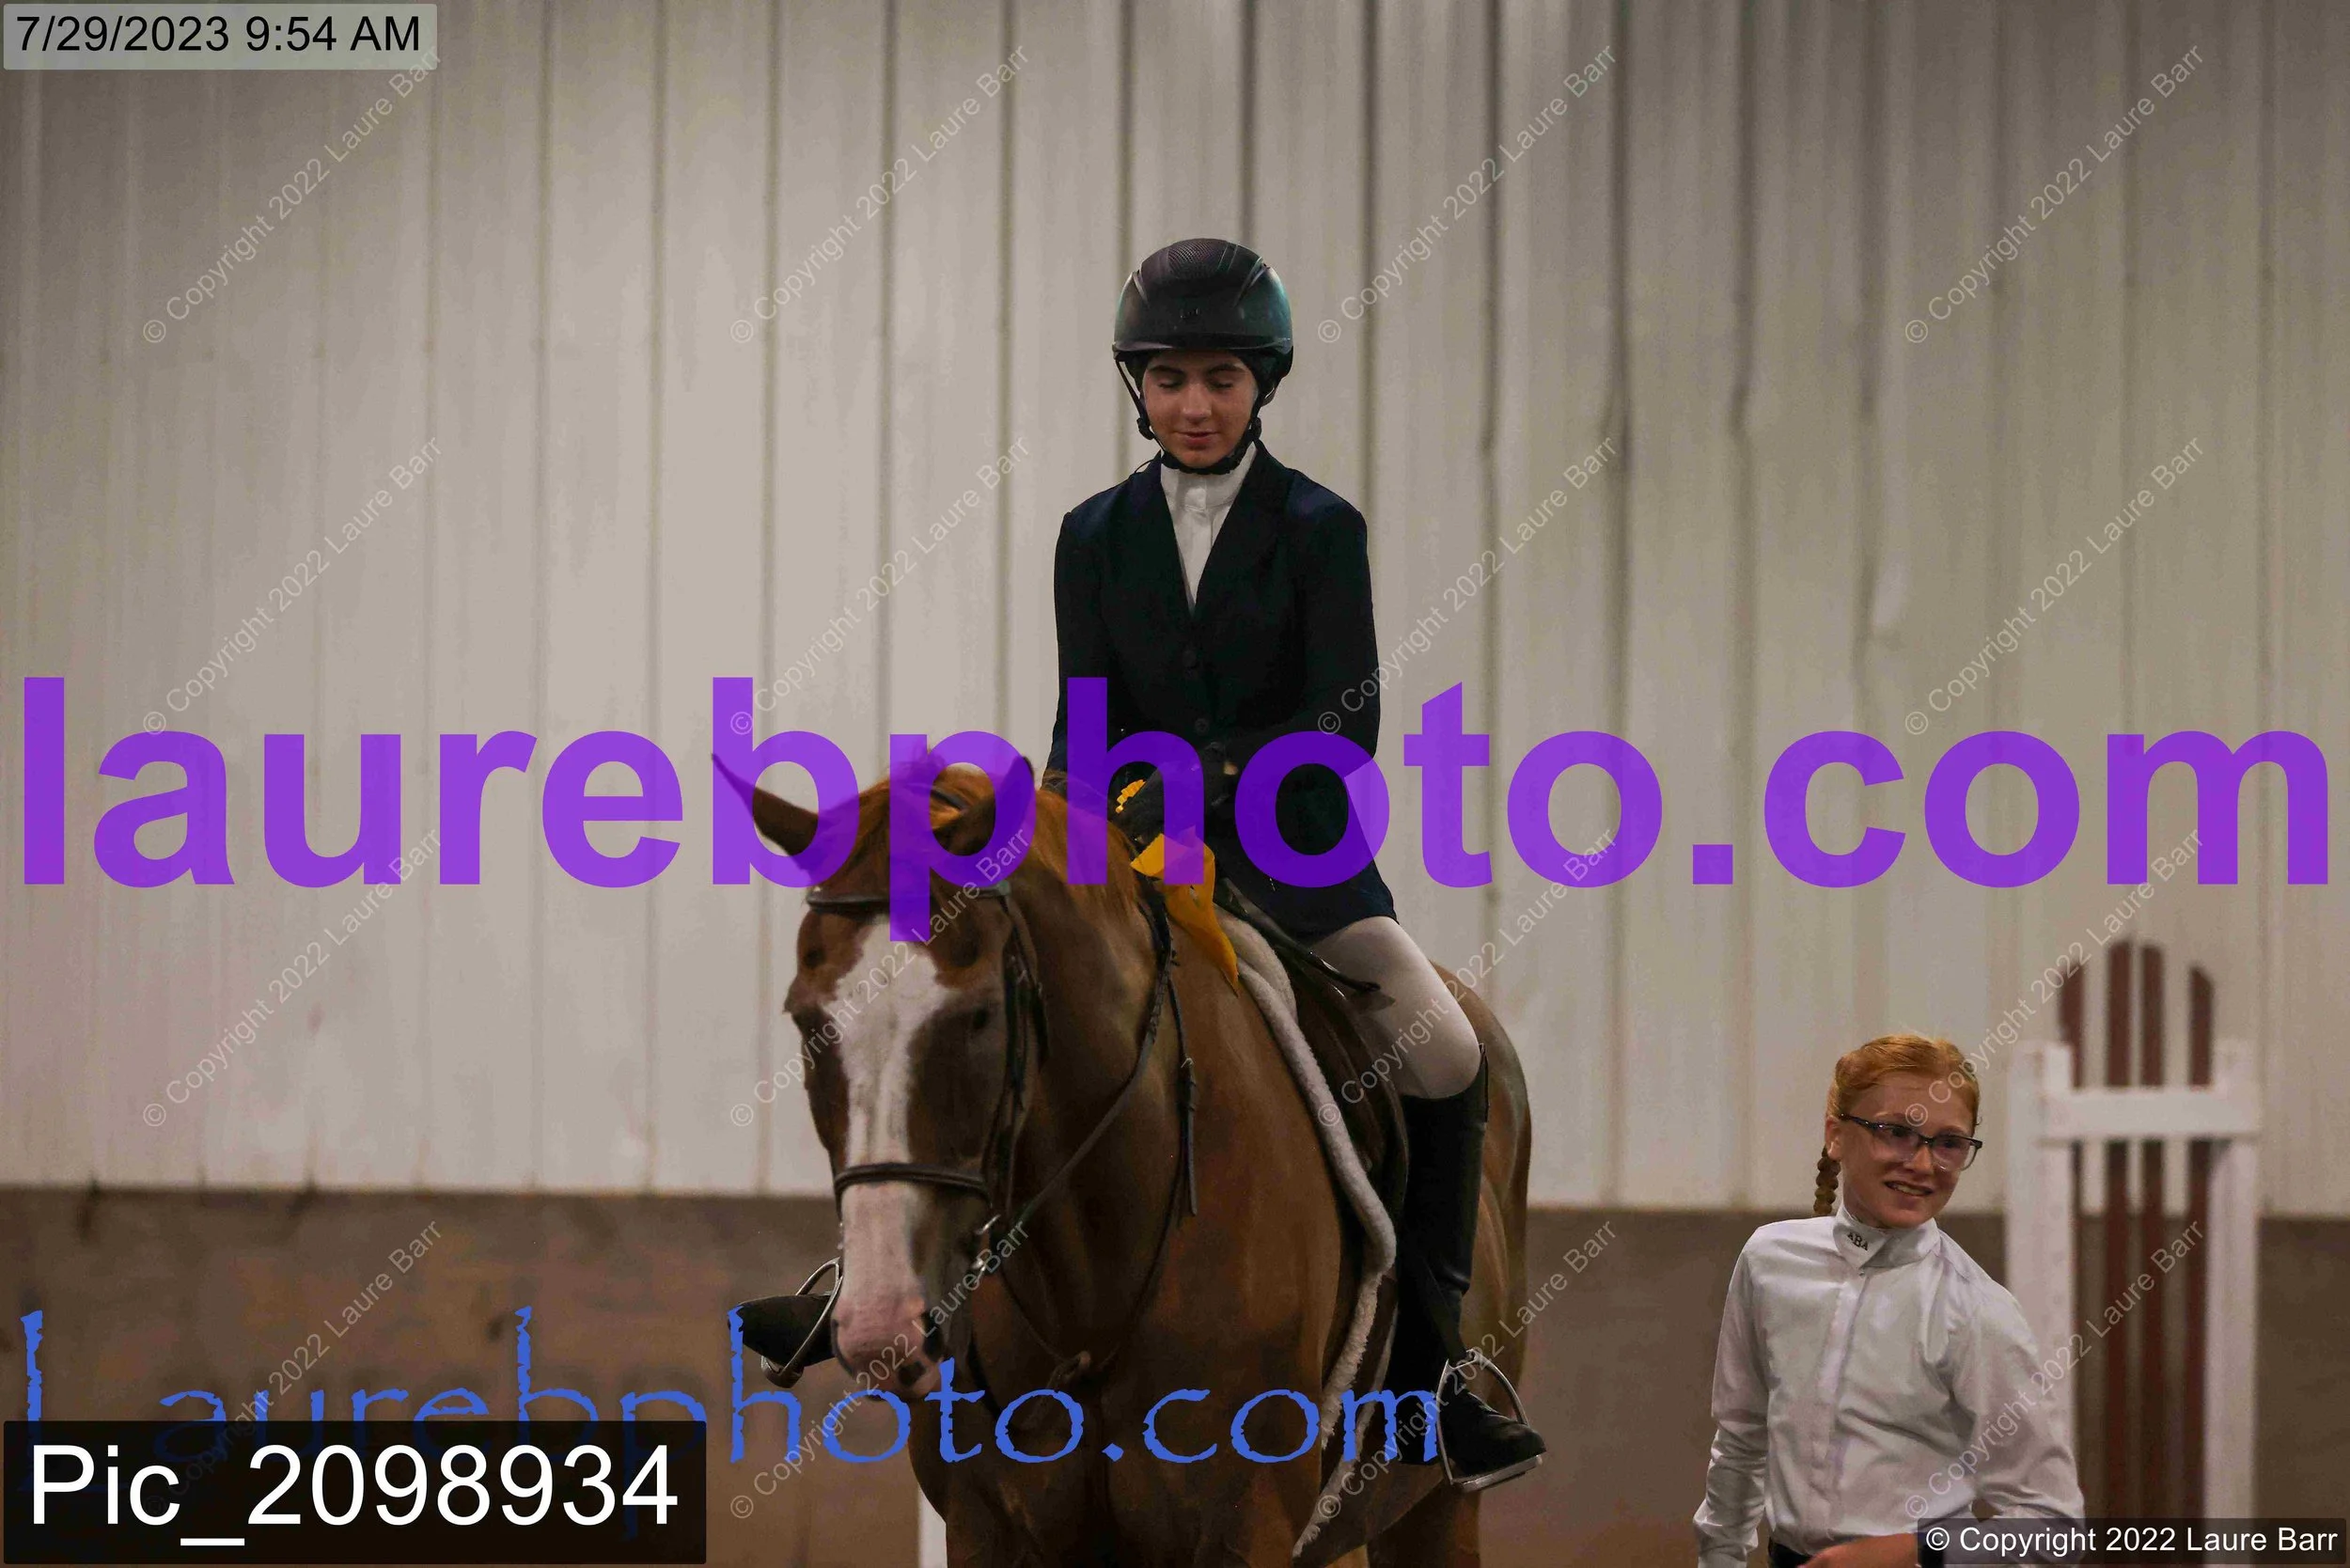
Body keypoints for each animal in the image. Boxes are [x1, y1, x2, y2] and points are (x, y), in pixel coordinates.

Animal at [738, 760, 1535, 1566]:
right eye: (807, 1021)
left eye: (981, 1016)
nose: (883, 1324)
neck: (1090, 1302)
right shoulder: (985, 1526)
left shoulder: (1248, 1525)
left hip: (1433, 1511)